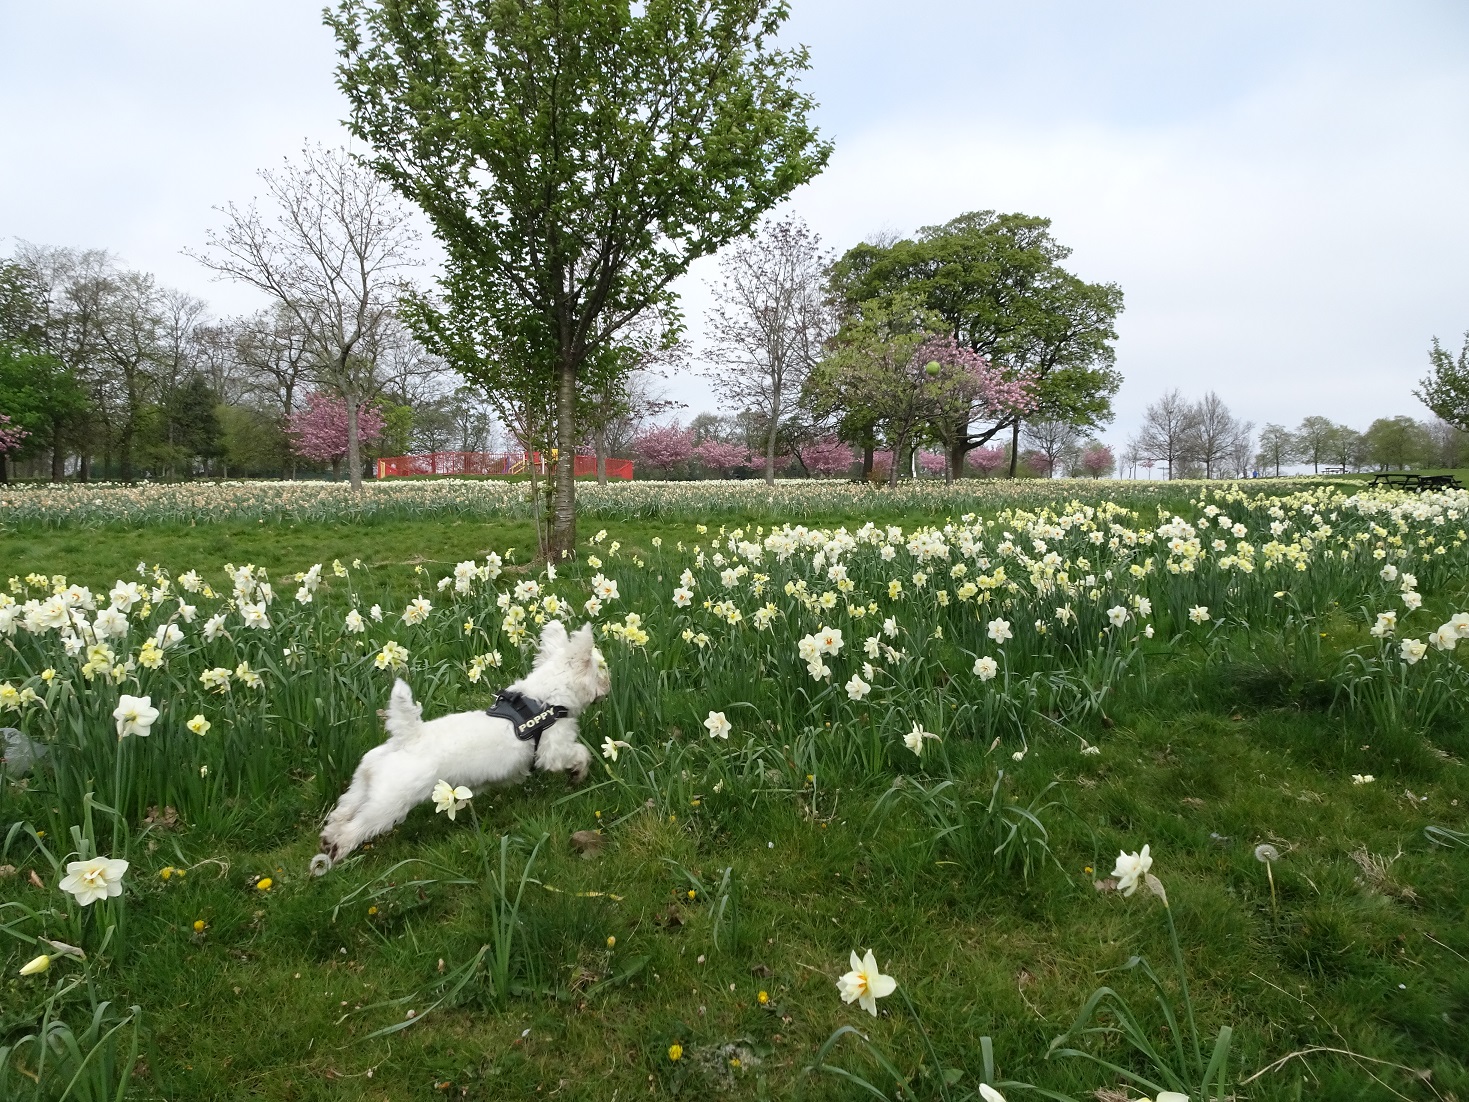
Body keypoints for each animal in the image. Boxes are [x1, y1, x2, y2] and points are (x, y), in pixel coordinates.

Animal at [309, 617, 608, 875]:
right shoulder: (554, 751)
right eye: (601, 670)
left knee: (342, 812)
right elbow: (581, 754)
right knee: (354, 828)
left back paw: (327, 840)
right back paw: (336, 850)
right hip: (388, 804)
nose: (609, 685)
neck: (545, 700)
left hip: (364, 785)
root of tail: (408, 737)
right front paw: (578, 775)